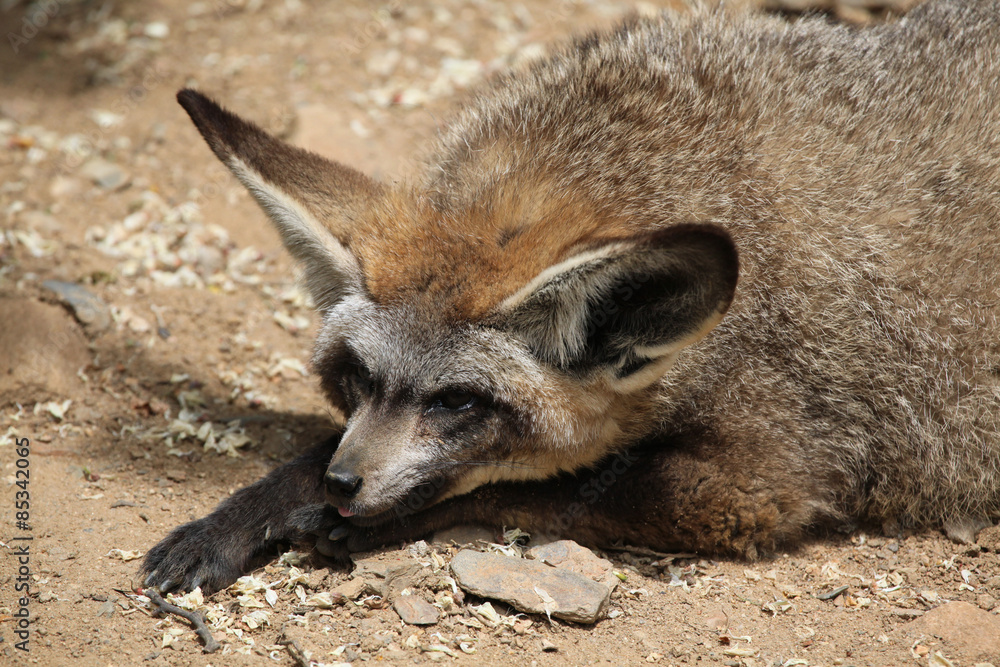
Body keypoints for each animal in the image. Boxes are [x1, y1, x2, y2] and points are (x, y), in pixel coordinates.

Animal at [141, 0, 1000, 595]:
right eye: (357, 378)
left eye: (459, 402)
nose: (345, 486)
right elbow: (318, 446)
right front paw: (241, 514)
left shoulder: (763, 478)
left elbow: (554, 483)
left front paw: (361, 518)